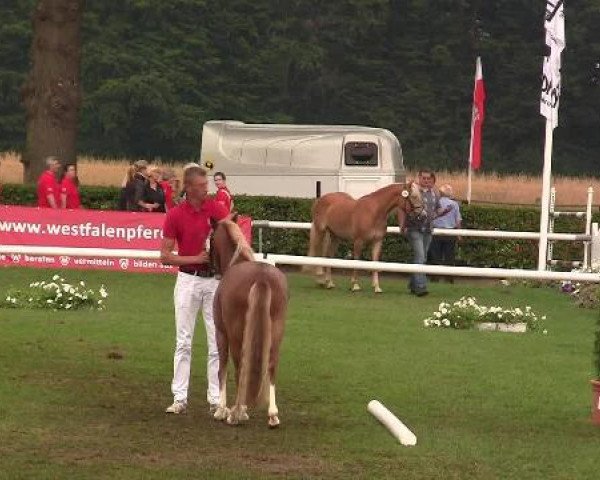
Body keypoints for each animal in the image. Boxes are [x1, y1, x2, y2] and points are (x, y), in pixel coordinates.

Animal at [210, 220, 288, 428]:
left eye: (210, 238)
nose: (210, 269)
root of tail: (262, 277)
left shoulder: (221, 333)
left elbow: (222, 368)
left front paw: (222, 410)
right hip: (276, 333)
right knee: (272, 366)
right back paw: (272, 415)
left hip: (236, 335)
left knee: (240, 366)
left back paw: (236, 413)